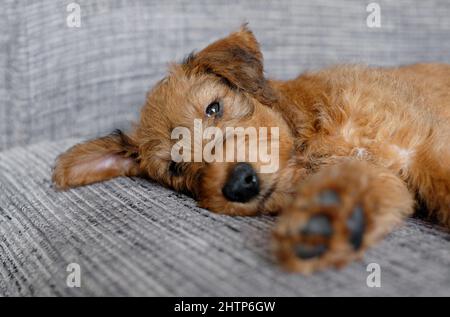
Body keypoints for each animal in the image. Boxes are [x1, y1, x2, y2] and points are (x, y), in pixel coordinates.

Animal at [53, 26, 450, 274]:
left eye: (214, 108)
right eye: (176, 170)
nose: (239, 184)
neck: (308, 134)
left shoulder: (423, 143)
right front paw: (327, 217)